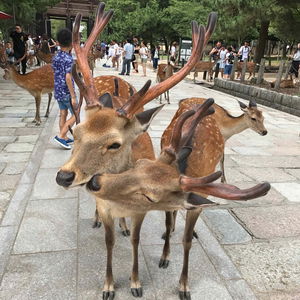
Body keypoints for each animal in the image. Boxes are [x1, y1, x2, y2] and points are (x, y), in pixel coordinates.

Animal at [55, 2, 220, 298]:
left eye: (115, 143)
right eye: (76, 132)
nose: (64, 176)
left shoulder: (142, 208)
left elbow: (135, 239)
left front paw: (135, 282)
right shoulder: (104, 204)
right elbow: (108, 241)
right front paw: (108, 285)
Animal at [83, 97, 270, 298]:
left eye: (151, 197)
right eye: (139, 164)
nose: (95, 182)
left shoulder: (197, 202)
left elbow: (187, 240)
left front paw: (184, 287)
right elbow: (167, 221)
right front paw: (165, 256)